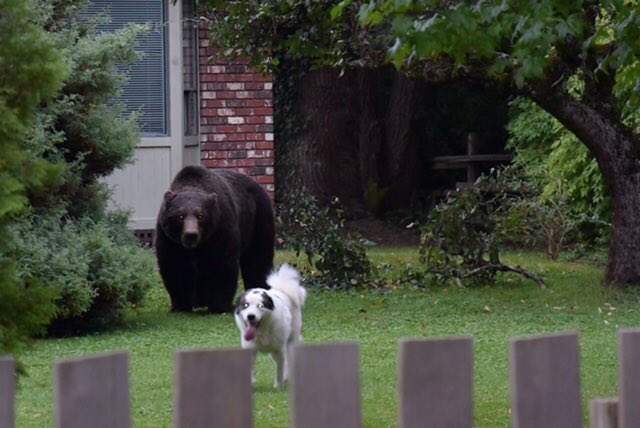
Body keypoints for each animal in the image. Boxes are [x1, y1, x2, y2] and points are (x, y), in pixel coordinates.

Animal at [155, 165, 275, 313]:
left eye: (200, 215)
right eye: (180, 216)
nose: (191, 234)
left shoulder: (220, 229)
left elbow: (221, 265)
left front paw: (219, 306)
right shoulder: (170, 239)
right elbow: (175, 266)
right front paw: (180, 305)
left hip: (257, 219)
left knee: (258, 257)